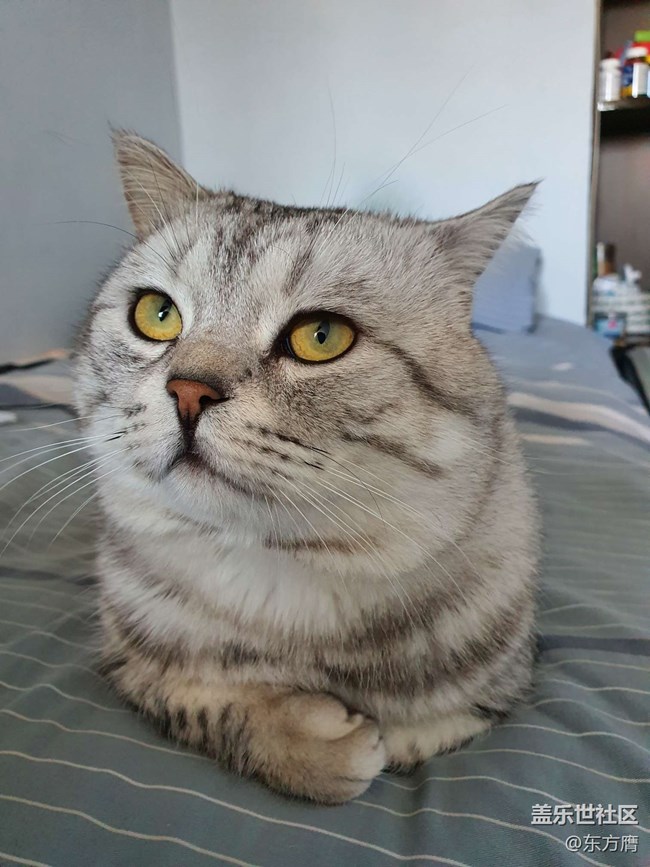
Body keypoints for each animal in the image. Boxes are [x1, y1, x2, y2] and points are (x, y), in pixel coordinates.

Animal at [73, 131, 539, 804]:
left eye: (321, 336)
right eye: (157, 314)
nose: (187, 391)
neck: (275, 575)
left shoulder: (505, 680)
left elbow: (431, 726)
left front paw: (381, 733)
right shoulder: (125, 658)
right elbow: (203, 701)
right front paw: (317, 745)